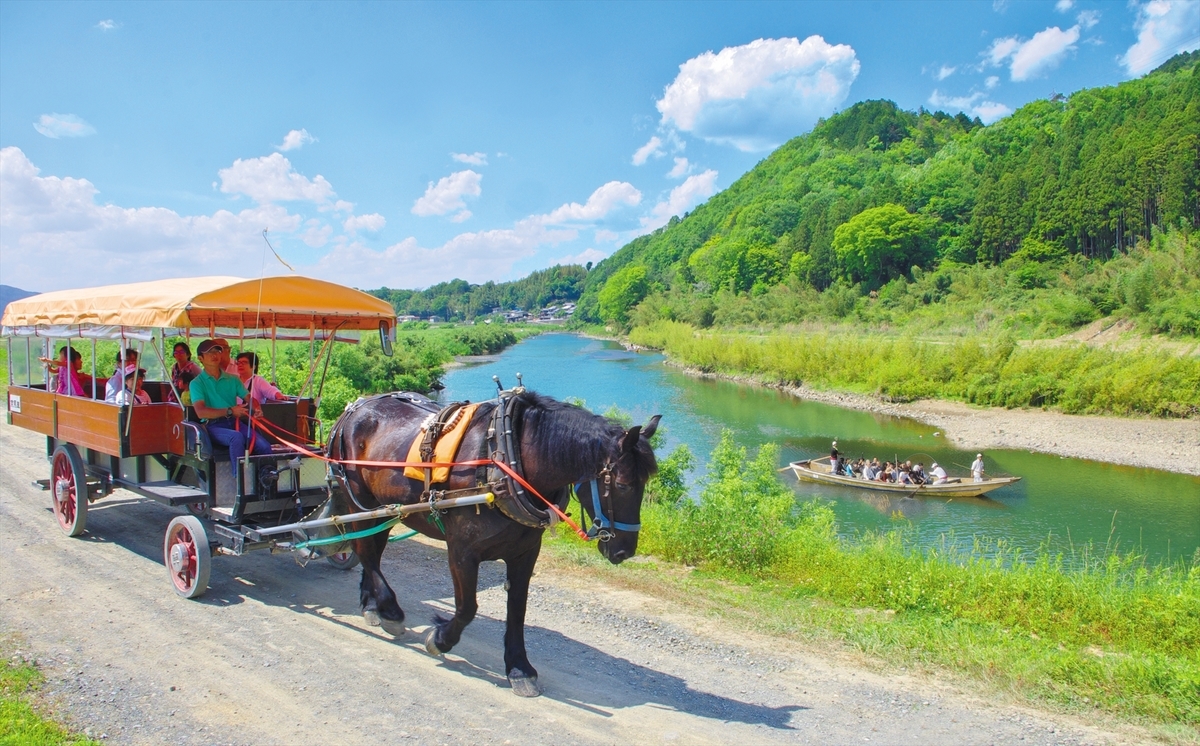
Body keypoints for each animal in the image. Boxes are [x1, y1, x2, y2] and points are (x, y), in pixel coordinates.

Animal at [333, 388, 662, 700]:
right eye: (622, 485)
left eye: (644, 484)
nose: (624, 551)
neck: (503, 463)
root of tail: (356, 408)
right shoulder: (461, 552)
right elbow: (467, 608)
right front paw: (440, 639)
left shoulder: (525, 554)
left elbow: (517, 610)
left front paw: (519, 668)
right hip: (358, 500)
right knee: (366, 552)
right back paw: (388, 609)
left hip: (384, 509)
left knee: (371, 551)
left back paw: (371, 604)